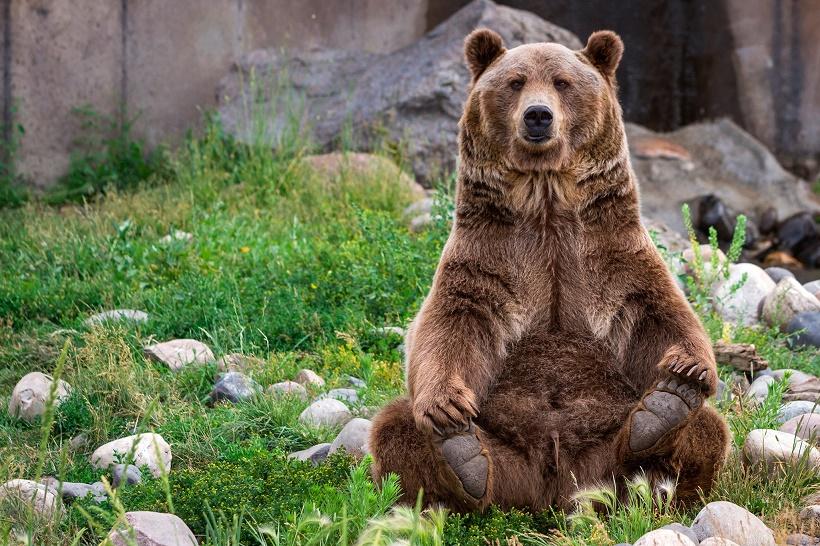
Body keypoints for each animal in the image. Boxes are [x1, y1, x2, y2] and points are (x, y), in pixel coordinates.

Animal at [368, 27, 728, 508]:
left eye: (562, 82)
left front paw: (688, 370)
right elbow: (450, 324)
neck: (547, 201)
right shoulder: (489, 258)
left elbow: (659, 313)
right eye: (515, 82)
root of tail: (553, 486)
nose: (538, 115)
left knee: (707, 428)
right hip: (506, 452)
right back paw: (463, 459)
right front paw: (445, 406)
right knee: (395, 427)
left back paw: (662, 412)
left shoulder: (611, 254)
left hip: (605, 448)